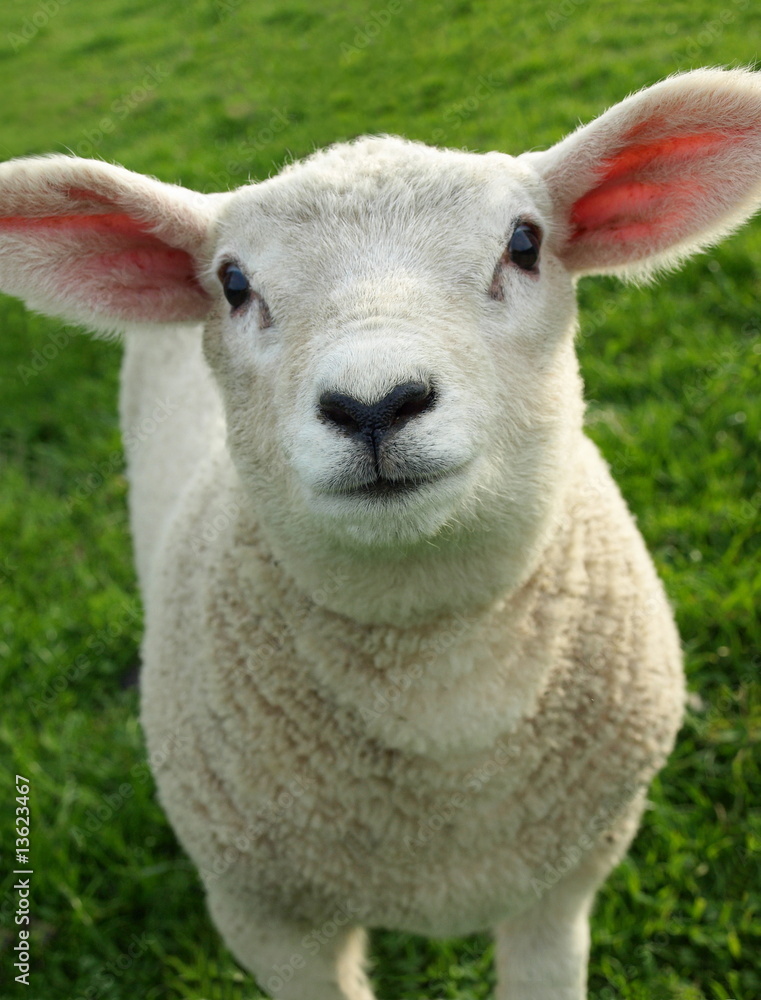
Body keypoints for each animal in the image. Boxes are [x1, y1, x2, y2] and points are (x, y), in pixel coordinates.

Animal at [1, 67, 760, 1000]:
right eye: (233, 284)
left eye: (524, 242)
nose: (373, 403)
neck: (437, 676)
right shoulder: (266, 921)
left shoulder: (566, 880)